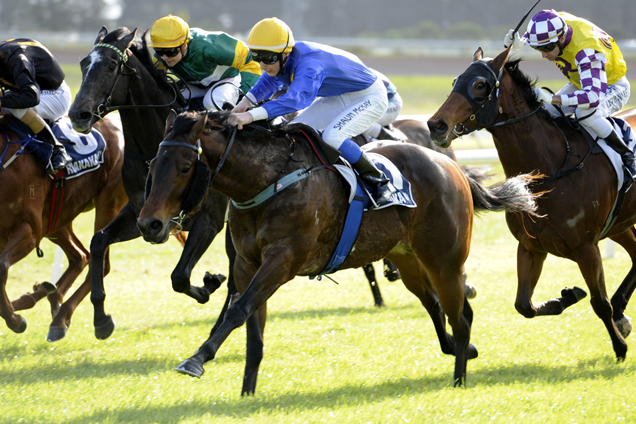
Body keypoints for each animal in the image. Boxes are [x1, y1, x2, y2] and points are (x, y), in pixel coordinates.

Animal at [0, 116, 126, 342]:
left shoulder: (29, 229)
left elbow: (2, 268)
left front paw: (15, 320)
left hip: (109, 203)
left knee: (99, 262)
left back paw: (63, 316)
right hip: (58, 217)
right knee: (80, 255)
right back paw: (47, 295)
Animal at [67, 26, 236, 340]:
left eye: (111, 66)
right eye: (84, 64)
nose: (77, 115)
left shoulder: (209, 220)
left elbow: (179, 277)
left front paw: (209, 283)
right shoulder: (141, 215)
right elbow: (98, 241)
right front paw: (101, 319)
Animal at [137, 110, 540, 394]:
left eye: (185, 167)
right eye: (153, 164)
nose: (149, 224)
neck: (268, 181)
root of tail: (452, 167)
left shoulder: (283, 260)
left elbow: (237, 311)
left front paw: (197, 359)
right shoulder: (247, 265)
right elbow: (252, 325)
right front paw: (247, 393)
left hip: (444, 260)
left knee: (462, 315)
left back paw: (459, 378)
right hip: (408, 258)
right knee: (436, 304)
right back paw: (461, 350)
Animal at [428, 46, 636, 362]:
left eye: (480, 85)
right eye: (455, 81)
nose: (436, 125)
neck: (551, 169)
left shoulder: (587, 248)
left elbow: (600, 303)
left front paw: (620, 347)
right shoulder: (531, 246)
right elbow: (523, 305)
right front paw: (565, 297)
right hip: (619, 224)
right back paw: (622, 312)